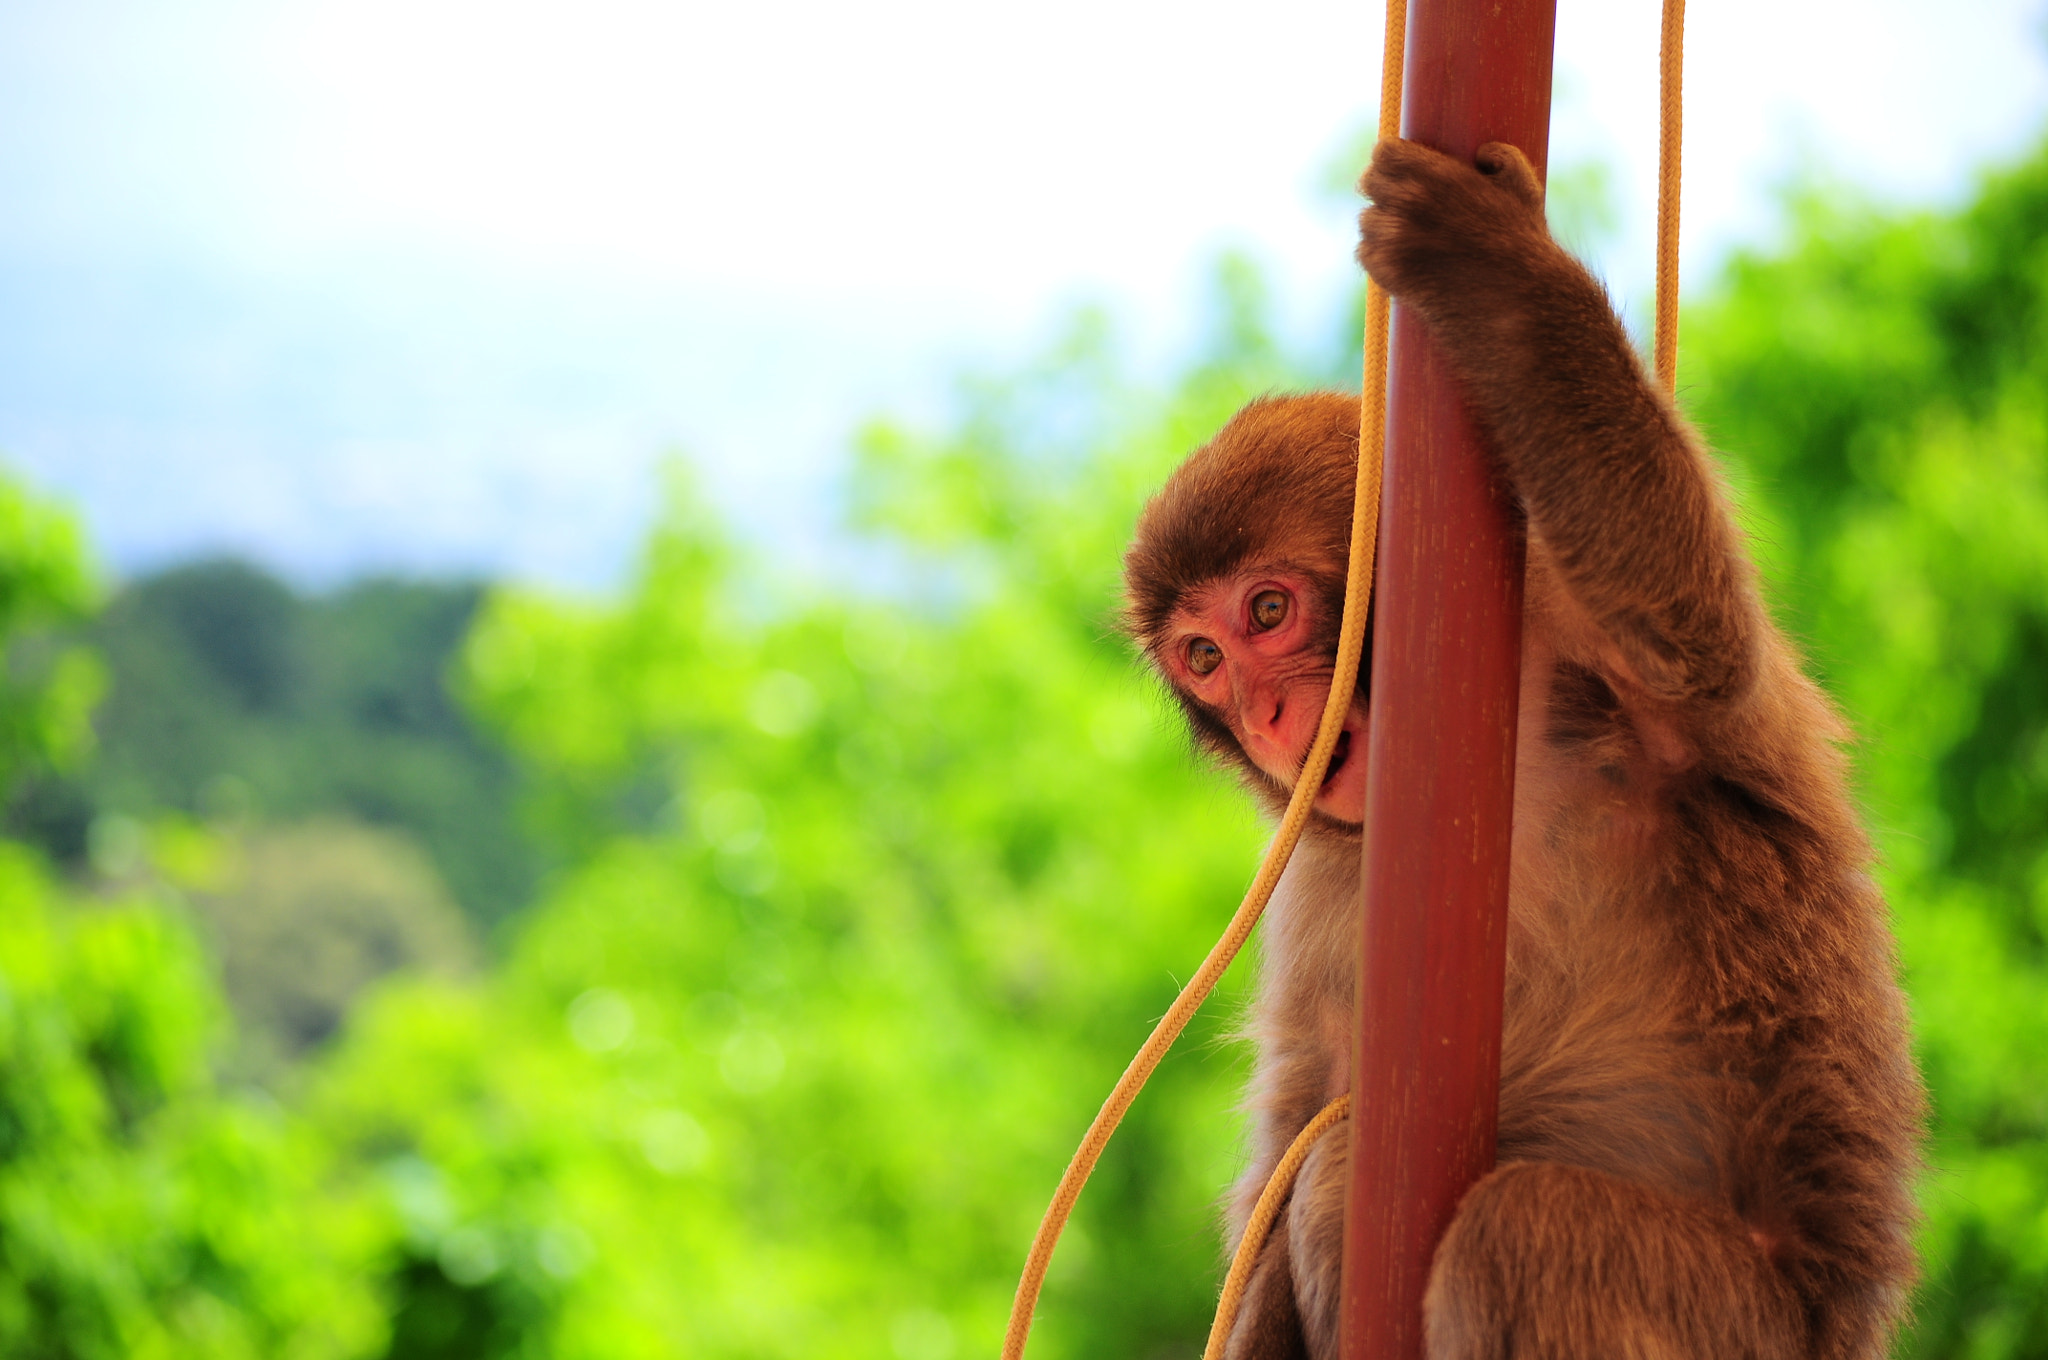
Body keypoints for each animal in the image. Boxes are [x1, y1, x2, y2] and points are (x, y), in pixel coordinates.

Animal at [1120, 139, 1925, 1360]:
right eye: (1204, 657)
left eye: (1267, 612)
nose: (1263, 716)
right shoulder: (1318, 876)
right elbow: (1298, 1123)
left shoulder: (1580, 618)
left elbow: (1698, 644)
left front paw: (1492, 274)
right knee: (1340, 1167)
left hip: (1741, 1321)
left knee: (1514, 1227)